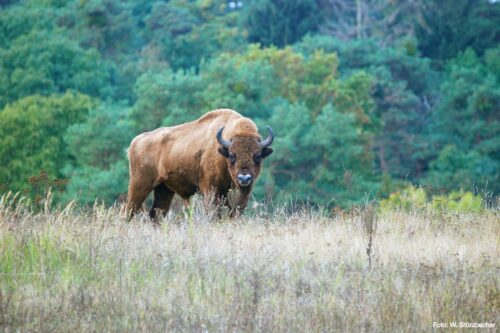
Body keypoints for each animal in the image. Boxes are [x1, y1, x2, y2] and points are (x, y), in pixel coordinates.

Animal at [125, 107, 274, 219]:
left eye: (258, 155)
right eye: (232, 155)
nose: (244, 178)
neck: (222, 153)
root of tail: (135, 142)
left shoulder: (241, 195)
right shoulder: (210, 191)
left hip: (164, 189)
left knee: (156, 215)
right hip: (139, 184)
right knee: (128, 211)